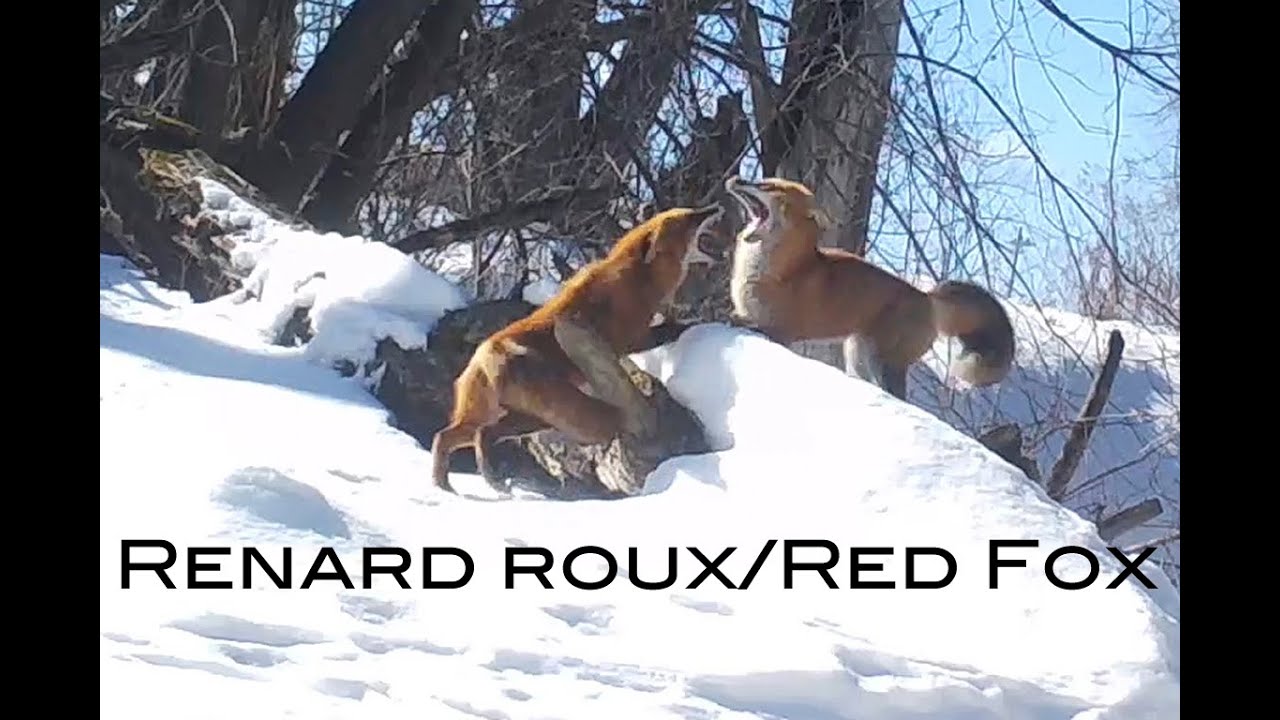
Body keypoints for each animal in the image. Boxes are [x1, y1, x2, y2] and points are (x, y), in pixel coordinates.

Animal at [430, 203, 724, 494]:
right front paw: (708, 324)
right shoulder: (631, 339)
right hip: (576, 416)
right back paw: (486, 479)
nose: (714, 207)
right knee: (477, 435)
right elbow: (676, 328)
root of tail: (483, 355)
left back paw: (446, 484)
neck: (637, 282)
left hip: (517, 418)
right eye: (690, 218)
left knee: (449, 436)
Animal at [722, 175, 1016, 401]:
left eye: (768, 185)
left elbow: (757, 327)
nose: (735, 179)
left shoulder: (784, 331)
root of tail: (927, 298)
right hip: (857, 355)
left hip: (881, 361)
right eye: (763, 179)